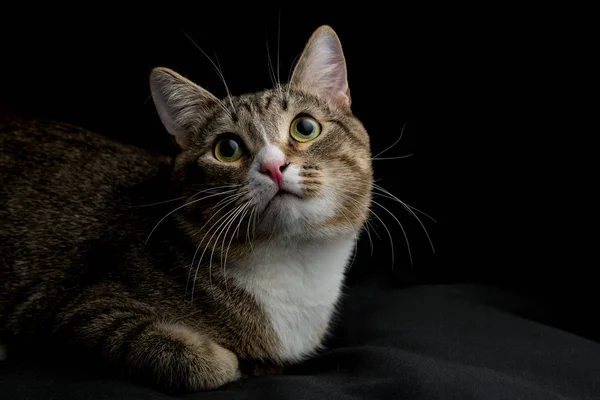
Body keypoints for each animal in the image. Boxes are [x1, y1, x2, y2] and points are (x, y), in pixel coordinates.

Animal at [0, 24, 372, 390]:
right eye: (227, 149)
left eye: (305, 127)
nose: (273, 167)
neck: (292, 261)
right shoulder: (85, 311)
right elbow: (204, 361)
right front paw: (232, 362)